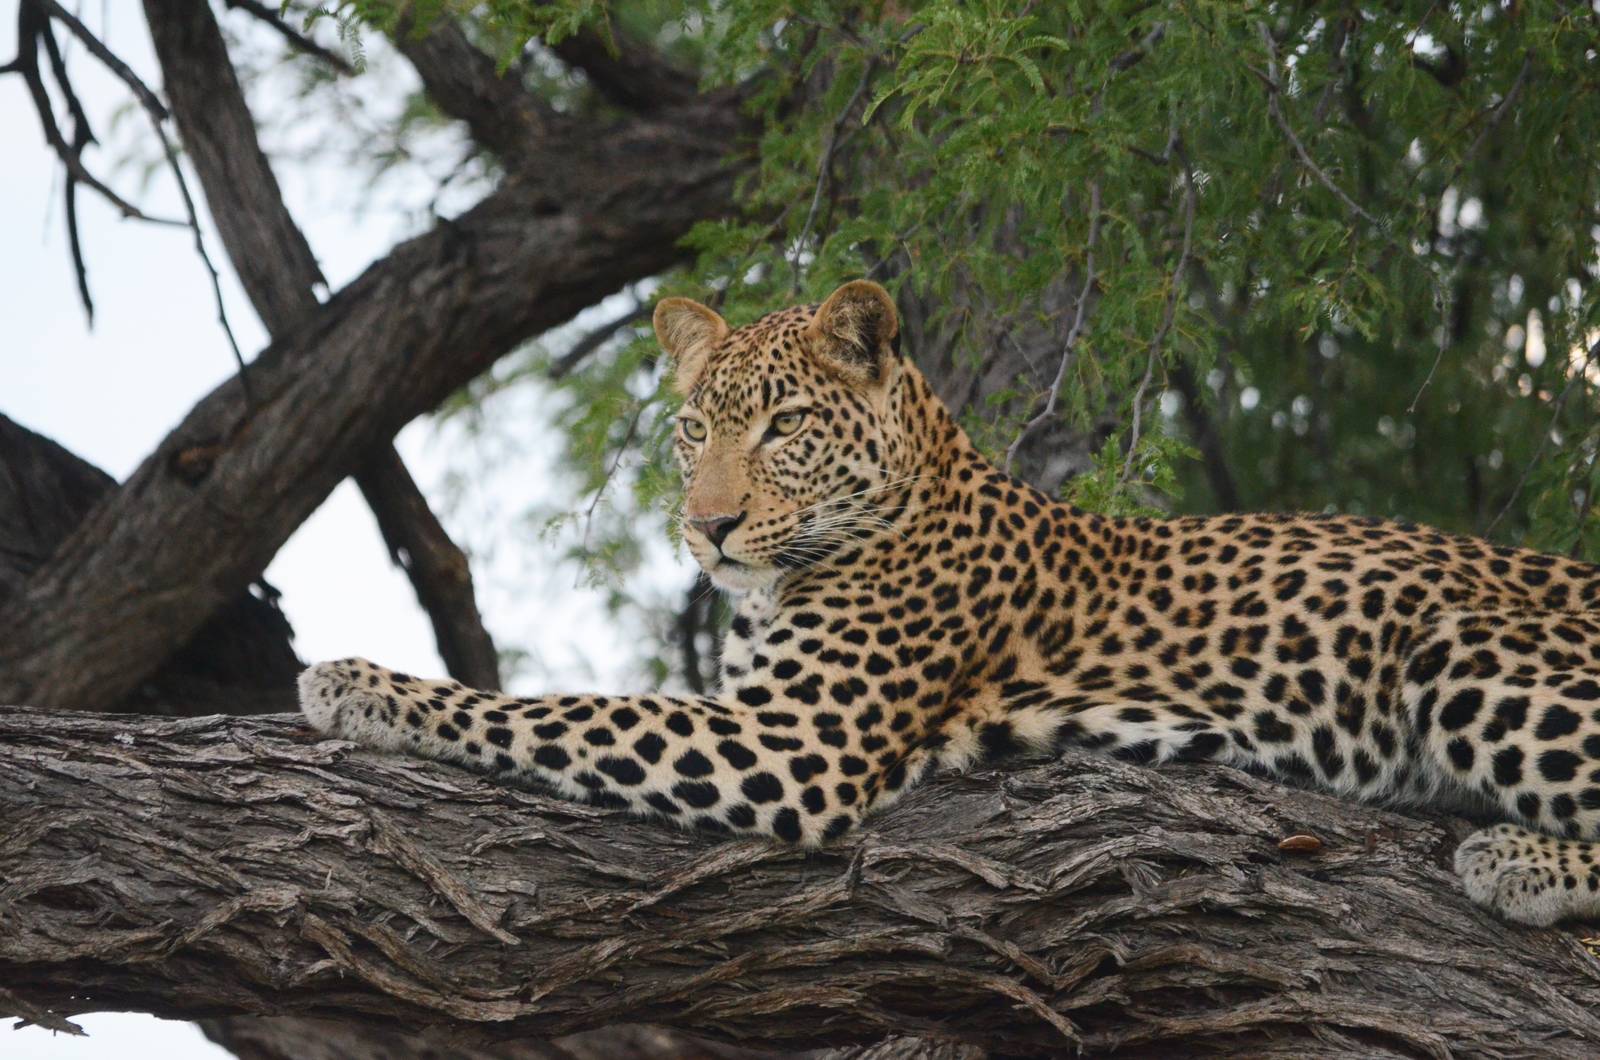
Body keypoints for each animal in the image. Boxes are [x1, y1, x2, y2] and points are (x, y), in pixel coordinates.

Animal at [301, 278, 1600, 927]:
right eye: (693, 428)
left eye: (784, 425)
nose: (705, 527)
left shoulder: (799, 744)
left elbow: (566, 708)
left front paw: (360, 684)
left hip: (1461, 647)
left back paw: (1517, 862)